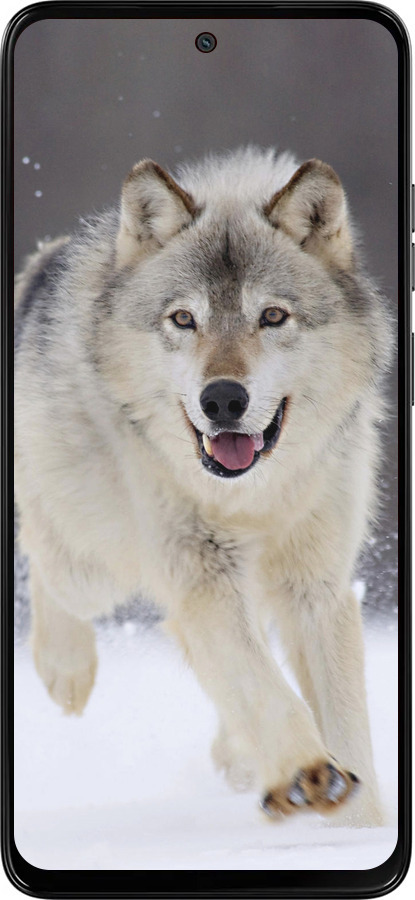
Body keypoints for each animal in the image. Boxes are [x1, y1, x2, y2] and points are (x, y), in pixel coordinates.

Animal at [15, 147, 391, 826]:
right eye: (184, 319)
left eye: (272, 316)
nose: (222, 399)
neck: (252, 497)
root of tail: (44, 261)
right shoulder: (201, 574)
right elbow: (264, 687)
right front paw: (307, 773)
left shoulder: (316, 586)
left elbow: (345, 722)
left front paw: (359, 826)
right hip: (96, 565)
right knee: (43, 554)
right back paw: (66, 671)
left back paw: (238, 757)